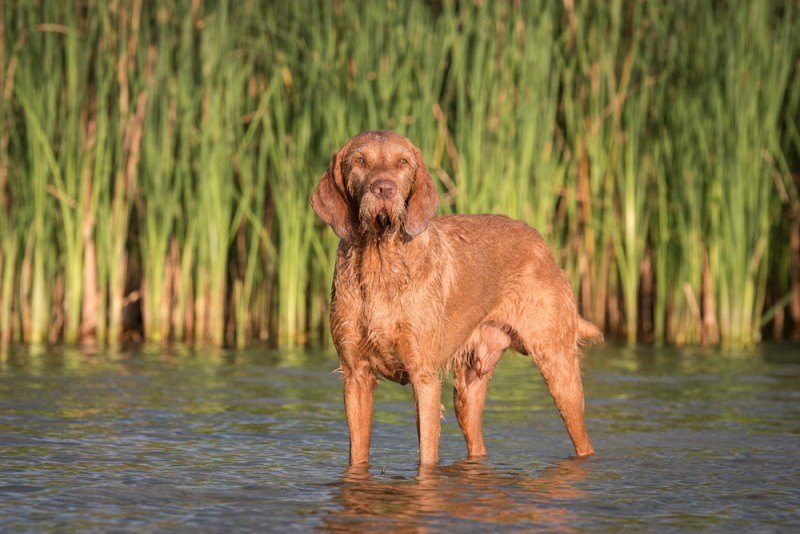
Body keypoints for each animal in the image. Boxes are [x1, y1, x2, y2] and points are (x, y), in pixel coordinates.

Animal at [312, 132, 600, 466]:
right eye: (359, 160)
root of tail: (543, 245)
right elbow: (358, 453)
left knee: (582, 437)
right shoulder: (355, 374)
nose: (384, 188)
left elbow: (427, 454)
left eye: (403, 162)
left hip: (559, 368)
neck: (381, 261)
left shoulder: (424, 377)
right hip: (468, 387)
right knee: (476, 440)